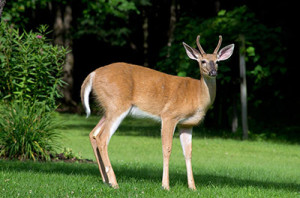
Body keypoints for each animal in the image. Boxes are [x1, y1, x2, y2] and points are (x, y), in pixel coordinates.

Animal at [80, 35, 234, 190]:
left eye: (217, 61)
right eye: (203, 61)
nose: (213, 72)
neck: (198, 95)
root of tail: (92, 75)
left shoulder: (186, 124)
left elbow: (188, 153)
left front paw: (192, 187)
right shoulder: (169, 115)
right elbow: (167, 149)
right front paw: (165, 185)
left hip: (108, 108)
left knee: (93, 134)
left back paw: (106, 180)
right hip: (117, 105)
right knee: (102, 138)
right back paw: (114, 182)